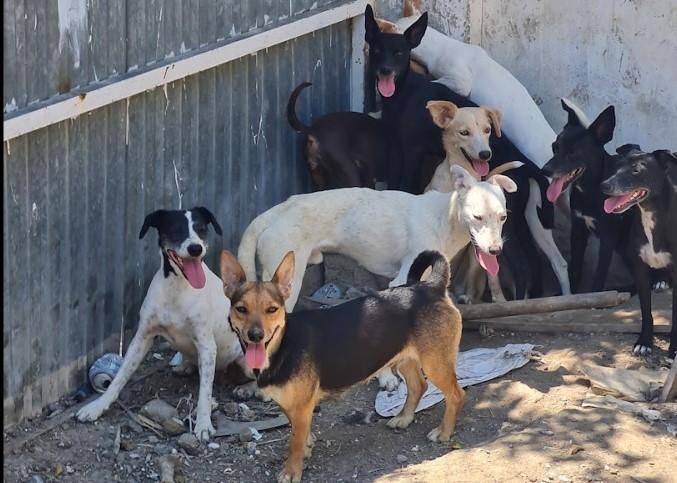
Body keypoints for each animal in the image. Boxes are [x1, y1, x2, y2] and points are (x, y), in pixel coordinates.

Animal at [74, 208, 254, 442]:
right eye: (176, 229)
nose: (195, 248)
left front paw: (203, 424)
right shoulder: (142, 338)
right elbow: (119, 377)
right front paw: (97, 406)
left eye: (201, 229)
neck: (177, 287)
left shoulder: (207, 346)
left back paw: (248, 389)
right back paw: (186, 365)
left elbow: (205, 392)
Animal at [219, 250, 462, 483]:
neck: (282, 345)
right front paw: (307, 447)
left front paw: (291, 471)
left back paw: (443, 432)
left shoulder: (301, 406)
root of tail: (430, 287)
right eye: (241, 309)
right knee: (419, 386)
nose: (255, 335)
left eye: (271, 309)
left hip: (434, 362)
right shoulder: (291, 405)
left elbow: (294, 442)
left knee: (456, 395)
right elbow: (299, 433)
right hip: (406, 358)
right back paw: (404, 418)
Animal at [604, 148, 676, 360]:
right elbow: (646, 311)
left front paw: (674, 348)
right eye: (616, 167)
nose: (604, 185)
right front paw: (644, 342)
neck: (650, 214)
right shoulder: (640, 270)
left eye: (636, 170)